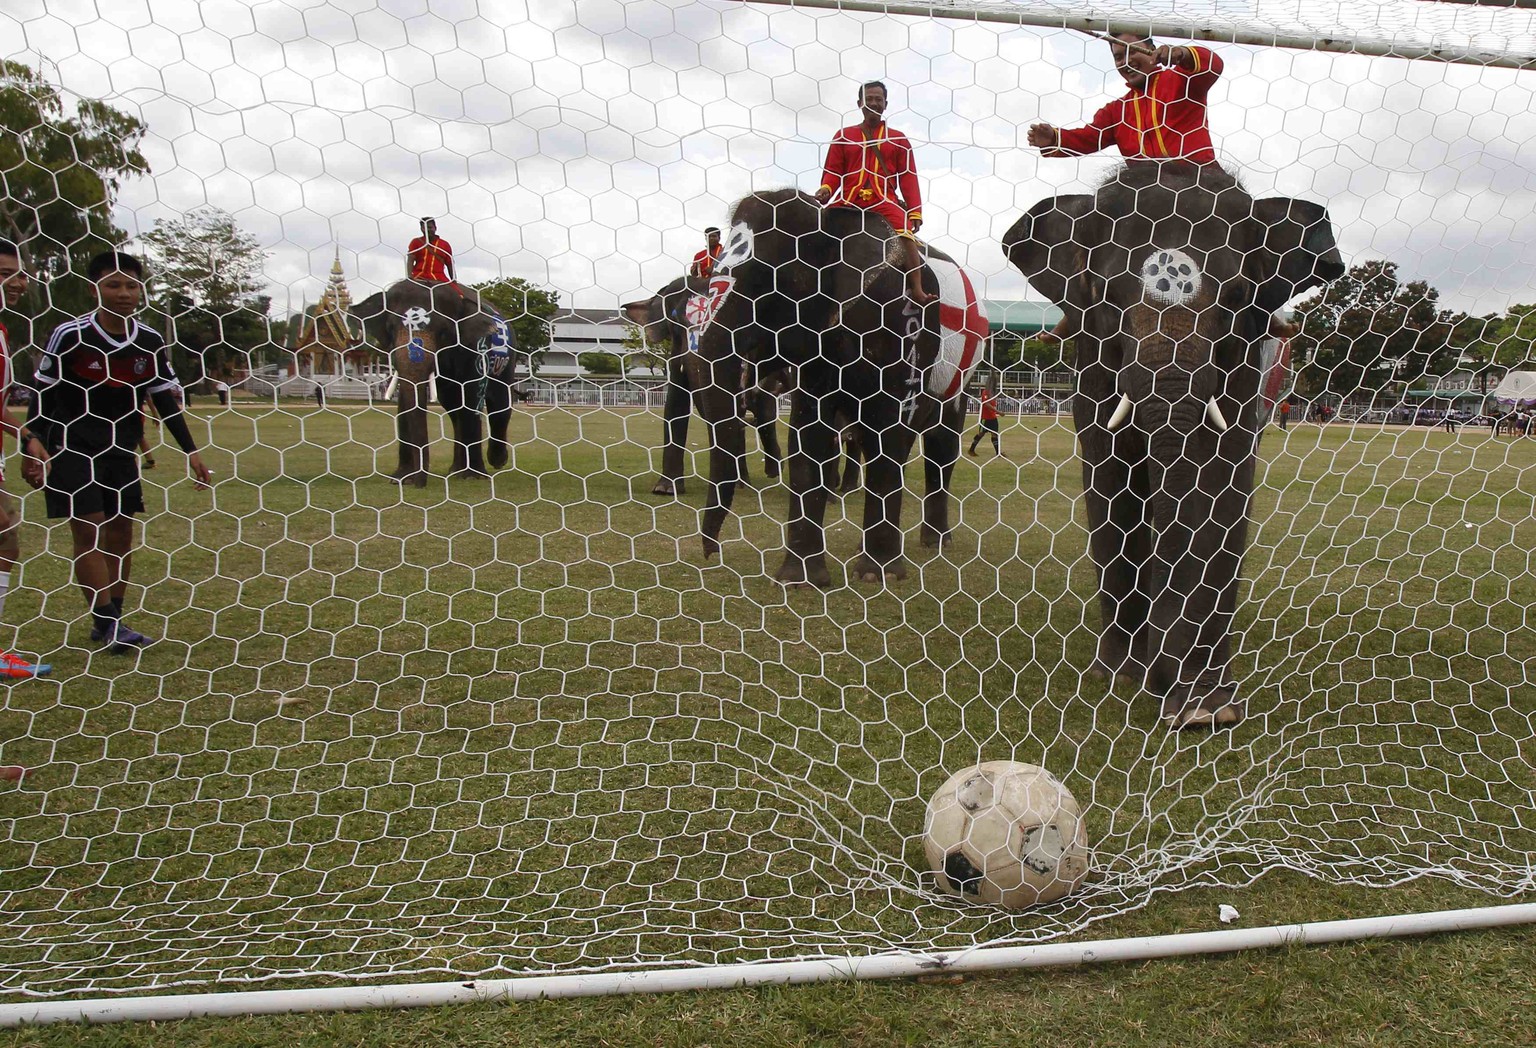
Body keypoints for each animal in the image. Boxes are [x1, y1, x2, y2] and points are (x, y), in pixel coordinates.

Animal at [1001, 161, 1339, 725]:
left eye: (1238, 295)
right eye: (1104, 292)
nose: (1163, 681)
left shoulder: (1246, 362)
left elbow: (1222, 475)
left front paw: (1207, 708)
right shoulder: (1091, 359)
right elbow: (1110, 479)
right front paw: (1120, 676)